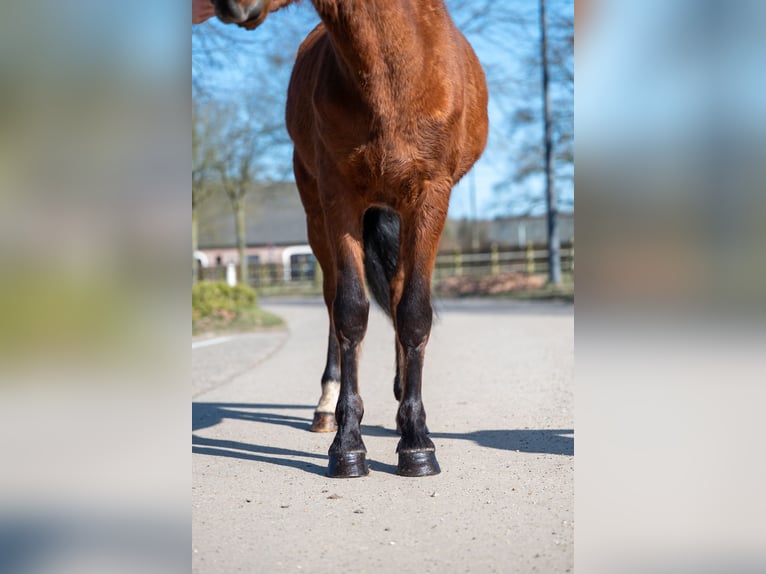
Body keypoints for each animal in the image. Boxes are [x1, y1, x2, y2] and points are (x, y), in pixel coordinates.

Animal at [214, 0, 492, 476]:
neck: (394, 77)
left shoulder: (431, 197)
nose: (228, 4)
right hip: (318, 215)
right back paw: (327, 407)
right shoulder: (337, 198)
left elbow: (414, 312)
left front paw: (416, 442)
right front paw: (347, 444)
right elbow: (349, 311)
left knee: (398, 292)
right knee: (331, 298)